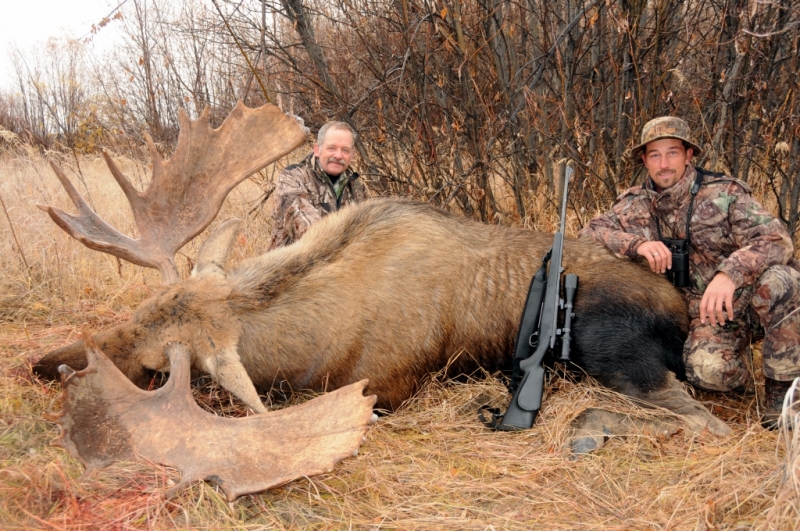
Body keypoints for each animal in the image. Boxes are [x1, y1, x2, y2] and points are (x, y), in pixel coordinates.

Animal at [33, 102, 731, 461]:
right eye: (137, 310)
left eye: (158, 367)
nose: (45, 364)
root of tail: (681, 307)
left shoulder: (386, 386)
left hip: (612, 353)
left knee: (706, 420)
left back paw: (589, 427)